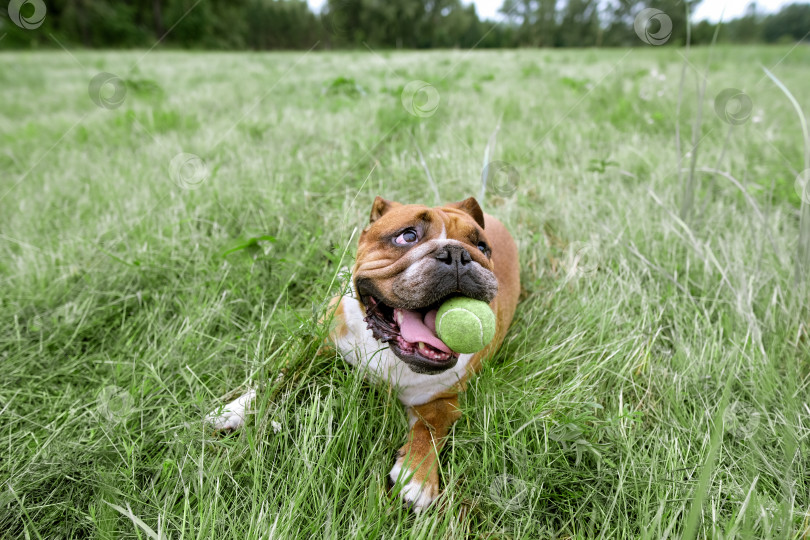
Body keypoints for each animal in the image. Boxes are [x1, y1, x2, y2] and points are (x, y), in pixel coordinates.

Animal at [208, 197, 516, 510]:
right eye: (408, 236)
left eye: (481, 247)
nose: (457, 254)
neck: (386, 348)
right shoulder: (314, 344)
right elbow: (279, 378)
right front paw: (237, 408)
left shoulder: (443, 402)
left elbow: (429, 429)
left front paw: (418, 476)